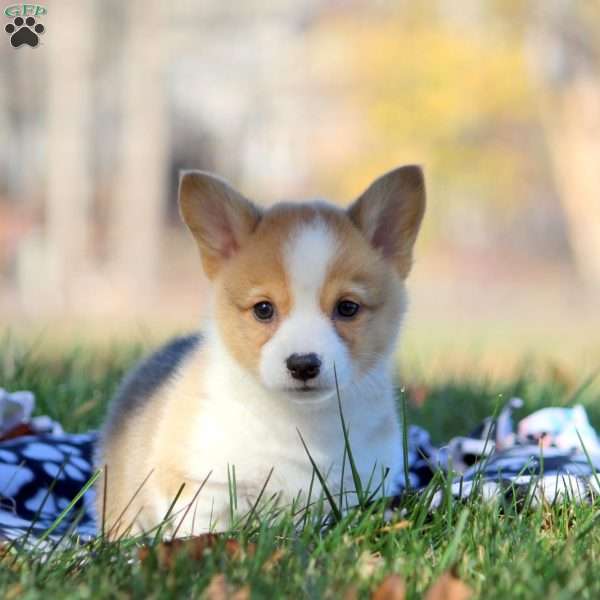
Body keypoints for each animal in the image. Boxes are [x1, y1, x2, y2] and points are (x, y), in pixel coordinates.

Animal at [96, 165, 426, 540]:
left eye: (347, 308)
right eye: (263, 309)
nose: (303, 365)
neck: (300, 422)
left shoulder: (360, 487)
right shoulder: (201, 489)